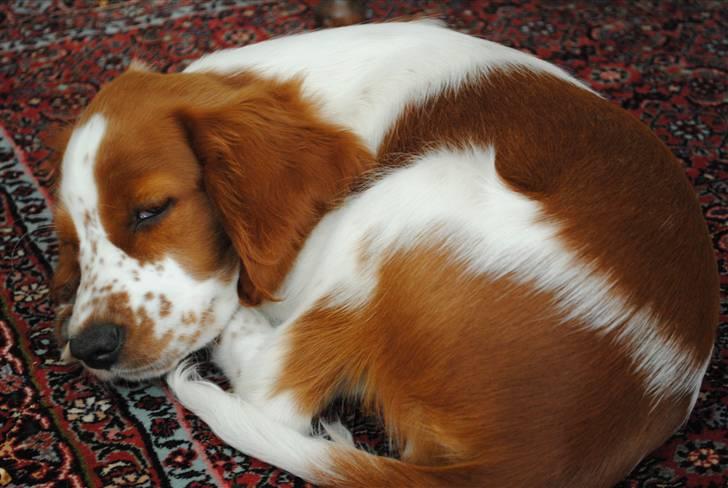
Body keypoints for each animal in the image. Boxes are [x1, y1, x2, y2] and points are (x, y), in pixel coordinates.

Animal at [51, 20, 716, 488]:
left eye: (151, 210)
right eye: (71, 242)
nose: (90, 348)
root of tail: (540, 459)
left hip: (412, 196)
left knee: (275, 390)